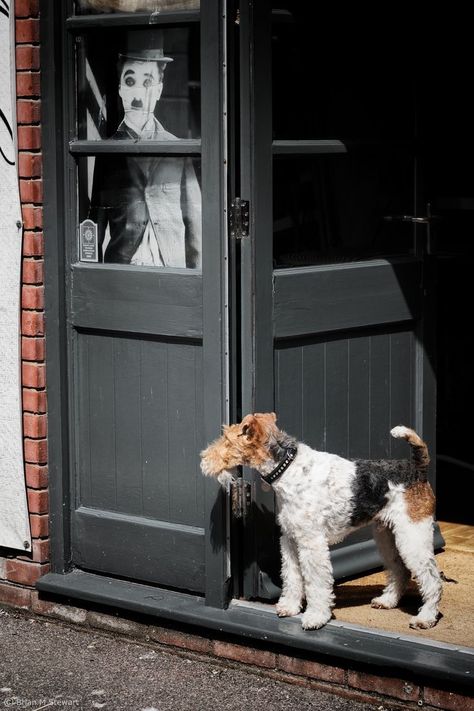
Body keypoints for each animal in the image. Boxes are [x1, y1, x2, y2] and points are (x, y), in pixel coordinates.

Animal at [199, 414, 440, 632]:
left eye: (227, 440)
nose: (203, 459)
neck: (287, 467)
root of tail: (418, 469)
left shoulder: (311, 543)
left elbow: (315, 583)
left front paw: (315, 617)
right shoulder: (290, 539)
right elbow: (292, 577)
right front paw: (289, 607)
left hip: (413, 535)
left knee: (432, 578)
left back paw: (425, 618)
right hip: (387, 536)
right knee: (400, 570)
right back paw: (387, 601)